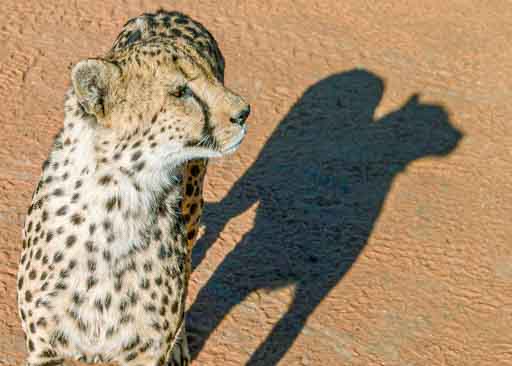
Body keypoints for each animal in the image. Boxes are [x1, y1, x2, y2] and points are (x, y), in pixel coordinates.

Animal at [18, 9, 252, 366]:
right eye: (180, 91)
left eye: (213, 78)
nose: (244, 112)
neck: (118, 200)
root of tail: (166, 12)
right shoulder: (45, 347)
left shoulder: (143, 352)